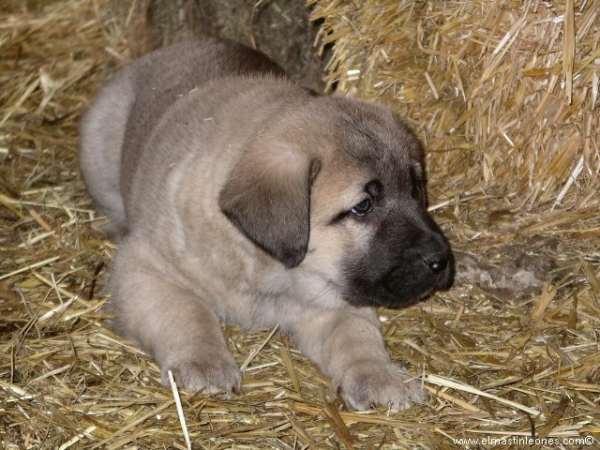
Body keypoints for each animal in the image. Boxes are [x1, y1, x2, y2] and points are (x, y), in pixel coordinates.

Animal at [81, 37, 454, 412]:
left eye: (416, 189)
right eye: (363, 206)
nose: (441, 260)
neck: (272, 274)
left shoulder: (336, 300)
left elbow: (356, 337)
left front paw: (380, 376)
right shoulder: (144, 269)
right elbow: (186, 311)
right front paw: (204, 363)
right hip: (100, 147)